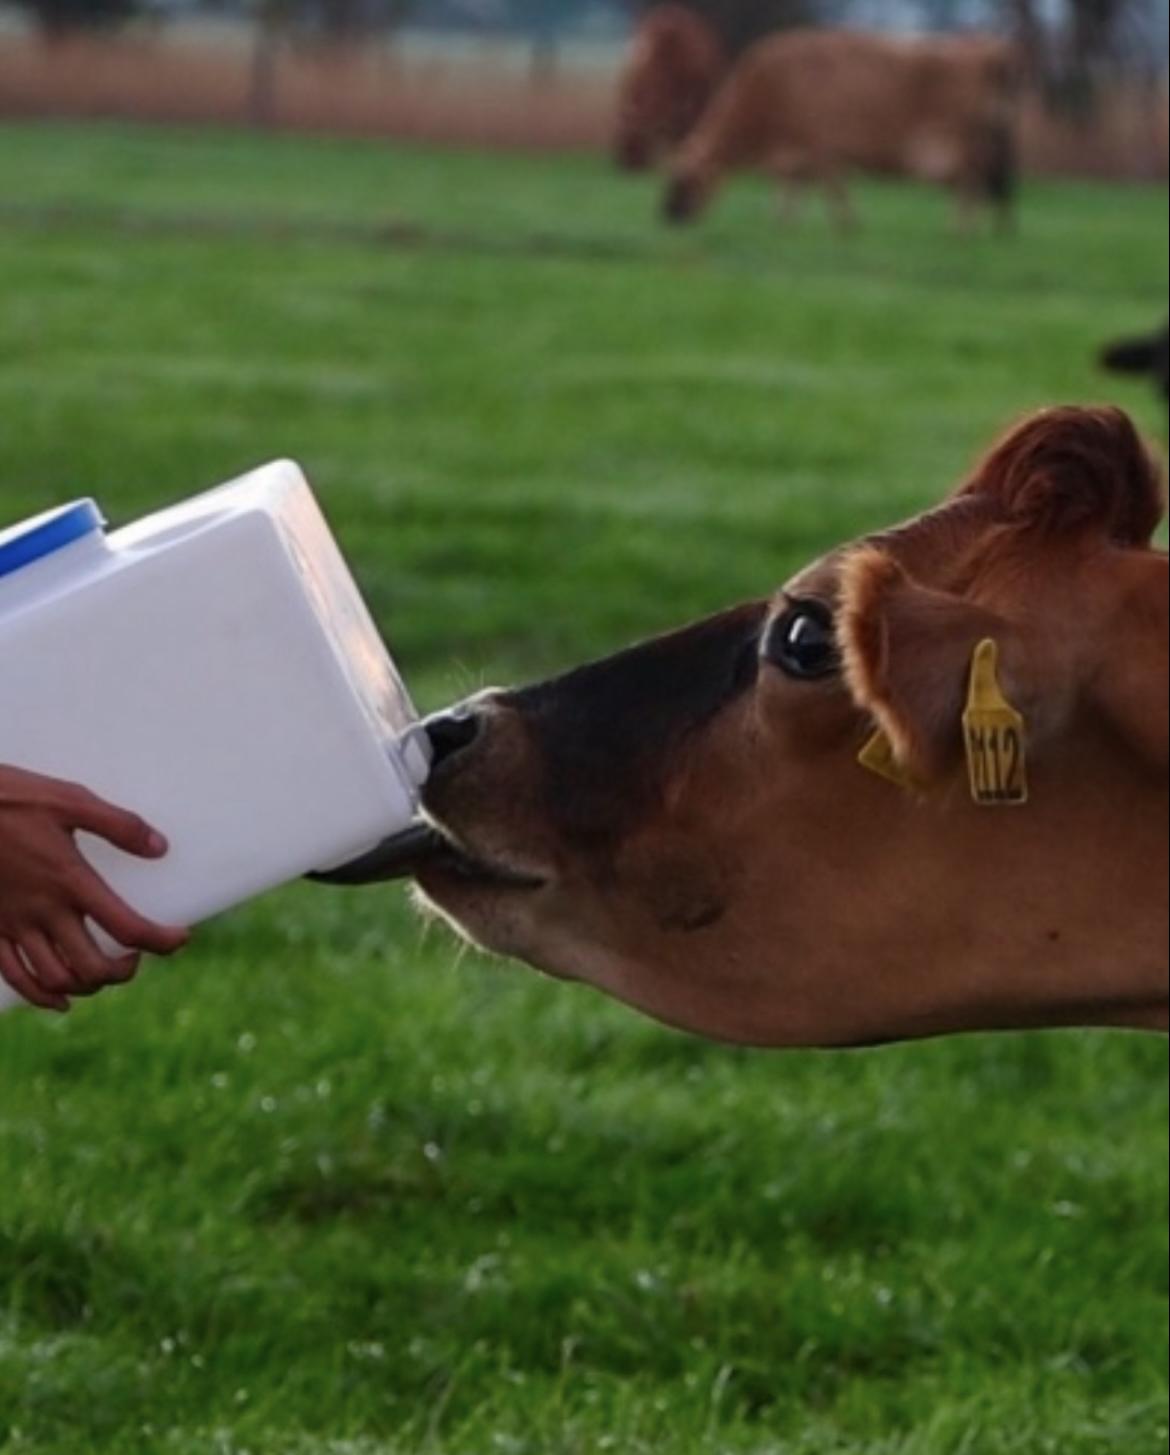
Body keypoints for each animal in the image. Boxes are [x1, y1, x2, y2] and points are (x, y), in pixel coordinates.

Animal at [661, 29, 1018, 232]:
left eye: (684, 180)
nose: (665, 217)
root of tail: (989, 50)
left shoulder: (822, 149)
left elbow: (835, 191)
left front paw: (847, 226)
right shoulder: (797, 156)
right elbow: (791, 191)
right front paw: (783, 223)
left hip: (964, 146)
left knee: (972, 183)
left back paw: (961, 229)